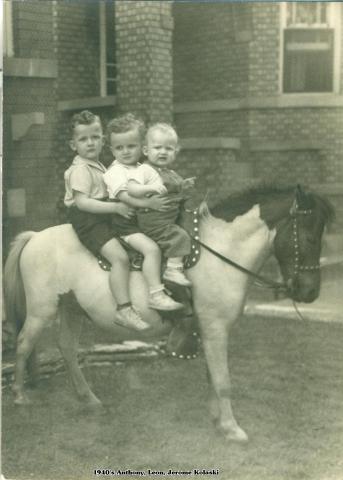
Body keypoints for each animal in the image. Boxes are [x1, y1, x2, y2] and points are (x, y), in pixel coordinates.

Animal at [2, 185, 334, 442]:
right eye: (309, 239)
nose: (310, 293)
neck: (220, 253)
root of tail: (34, 237)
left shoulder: (207, 330)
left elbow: (212, 377)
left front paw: (217, 420)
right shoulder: (215, 328)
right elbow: (223, 380)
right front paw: (232, 428)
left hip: (71, 307)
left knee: (68, 348)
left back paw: (89, 399)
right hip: (42, 310)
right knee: (24, 343)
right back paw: (19, 395)